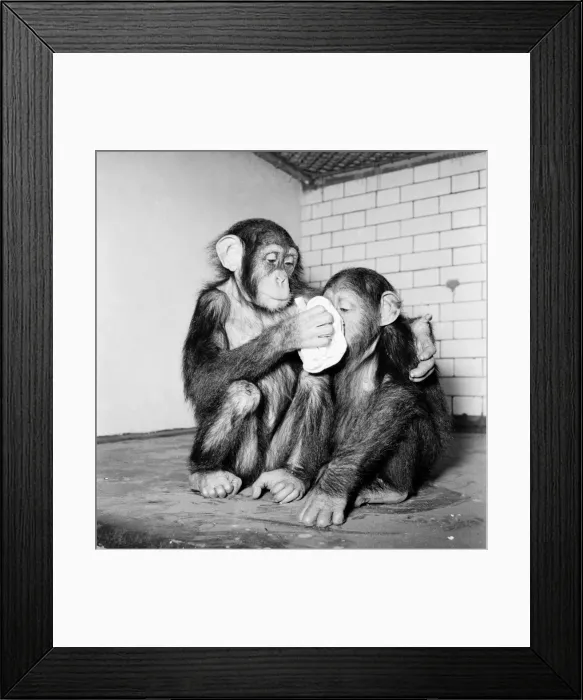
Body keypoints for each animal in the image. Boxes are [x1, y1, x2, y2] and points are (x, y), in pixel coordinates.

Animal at [298, 267, 451, 528]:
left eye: (343, 308)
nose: (328, 323)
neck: (364, 353)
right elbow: (314, 383)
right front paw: (292, 476)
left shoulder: (396, 342)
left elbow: (395, 393)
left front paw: (330, 491)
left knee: (405, 415)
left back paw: (392, 489)